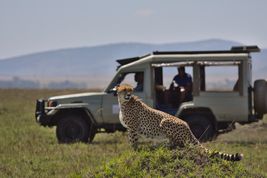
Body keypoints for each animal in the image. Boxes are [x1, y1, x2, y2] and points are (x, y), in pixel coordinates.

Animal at [116, 84, 244, 161]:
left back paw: (164, 146)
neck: (124, 102)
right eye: (124, 90)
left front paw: (133, 151)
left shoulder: (132, 128)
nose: (128, 94)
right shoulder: (131, 128)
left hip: (165, 121)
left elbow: (133, 141)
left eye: (130, 90)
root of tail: (188, 126)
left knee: (180, 144)